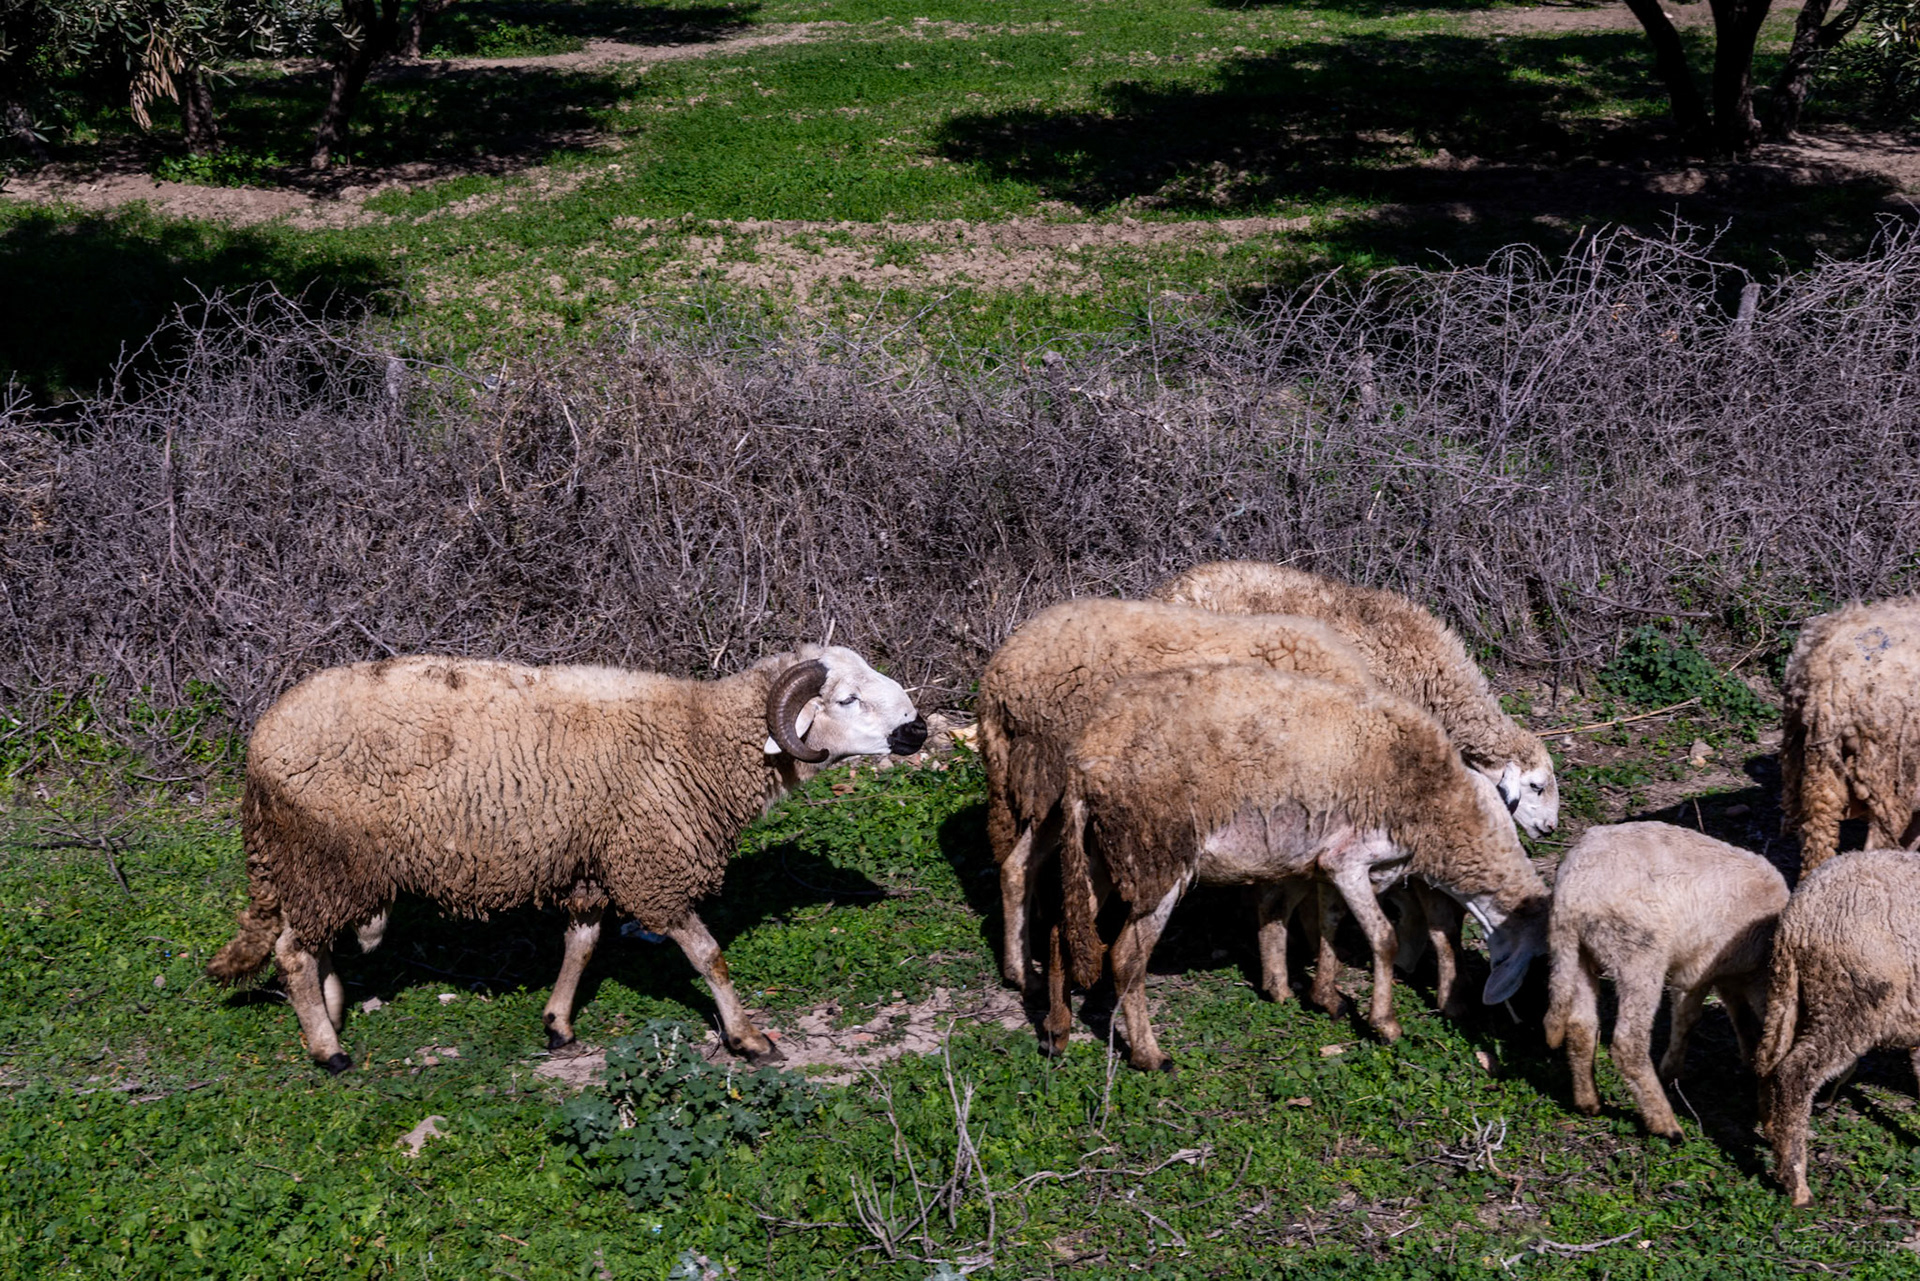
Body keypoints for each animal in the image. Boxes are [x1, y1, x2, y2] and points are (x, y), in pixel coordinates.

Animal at [206, 646, 926, 1074]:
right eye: (846, 700)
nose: (916, 729)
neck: (697, 738)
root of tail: (263, 740)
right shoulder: (650, 867)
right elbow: (707, 954)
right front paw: (748, 1037)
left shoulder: (591, 864)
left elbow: (581, 943)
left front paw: (558, 1024)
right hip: (329, 859)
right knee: (294, 952)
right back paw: (328, 1049)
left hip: (318, 867)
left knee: (313, 944)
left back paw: (329, 1014)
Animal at [975, 597, 1376, 1013]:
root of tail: (998, 673)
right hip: (1052, 775)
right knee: (1020, 866)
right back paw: (1026, 973)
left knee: (1016, 868)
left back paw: (1021, 971)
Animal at [1058, 666, 1550, 1070]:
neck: (1439, 805)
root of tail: (1086, 755)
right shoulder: (1352, 857)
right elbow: (1383, 938)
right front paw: (1384, 1023)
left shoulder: (1329, 862)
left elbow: (1329, 925)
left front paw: (1326, 997)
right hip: (1157, 856)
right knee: (1126, 957)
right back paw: (1148, 1055)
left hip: (1099, 853)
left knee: (1064, 928)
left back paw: (1057, 1033)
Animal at [1542, 822, 1788, 1140]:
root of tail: (1570, 892)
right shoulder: (1699, 968)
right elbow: (1689, 1018)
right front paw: (1670, 1071)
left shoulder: (1731, 976)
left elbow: (1741, 1018)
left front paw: (1747, 1059)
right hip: (1639, 951)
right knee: (1628, 1043)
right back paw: (1665, 1124)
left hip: (1580, 951)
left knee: (1580, 1025)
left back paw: (1588, 1102)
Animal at [1756, 848, 1920, 1206]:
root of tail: (1798, 917)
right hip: (1852, 999)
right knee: (1794, 1074)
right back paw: (1798, 1186)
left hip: (1792, 998)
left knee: (1767, 1063)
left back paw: (1773, 1135)